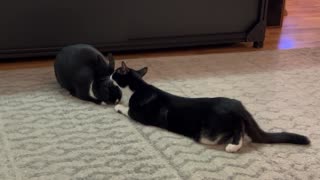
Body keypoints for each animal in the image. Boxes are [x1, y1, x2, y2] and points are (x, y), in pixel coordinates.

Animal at [109, 61, 310, 153]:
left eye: (116, 72)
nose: (110, 75)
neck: (137, 87)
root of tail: (238, 106)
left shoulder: (140, 114)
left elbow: (128, 110)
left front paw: (118, 106)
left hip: (207, 134)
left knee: (238, 130)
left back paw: (233, 146)